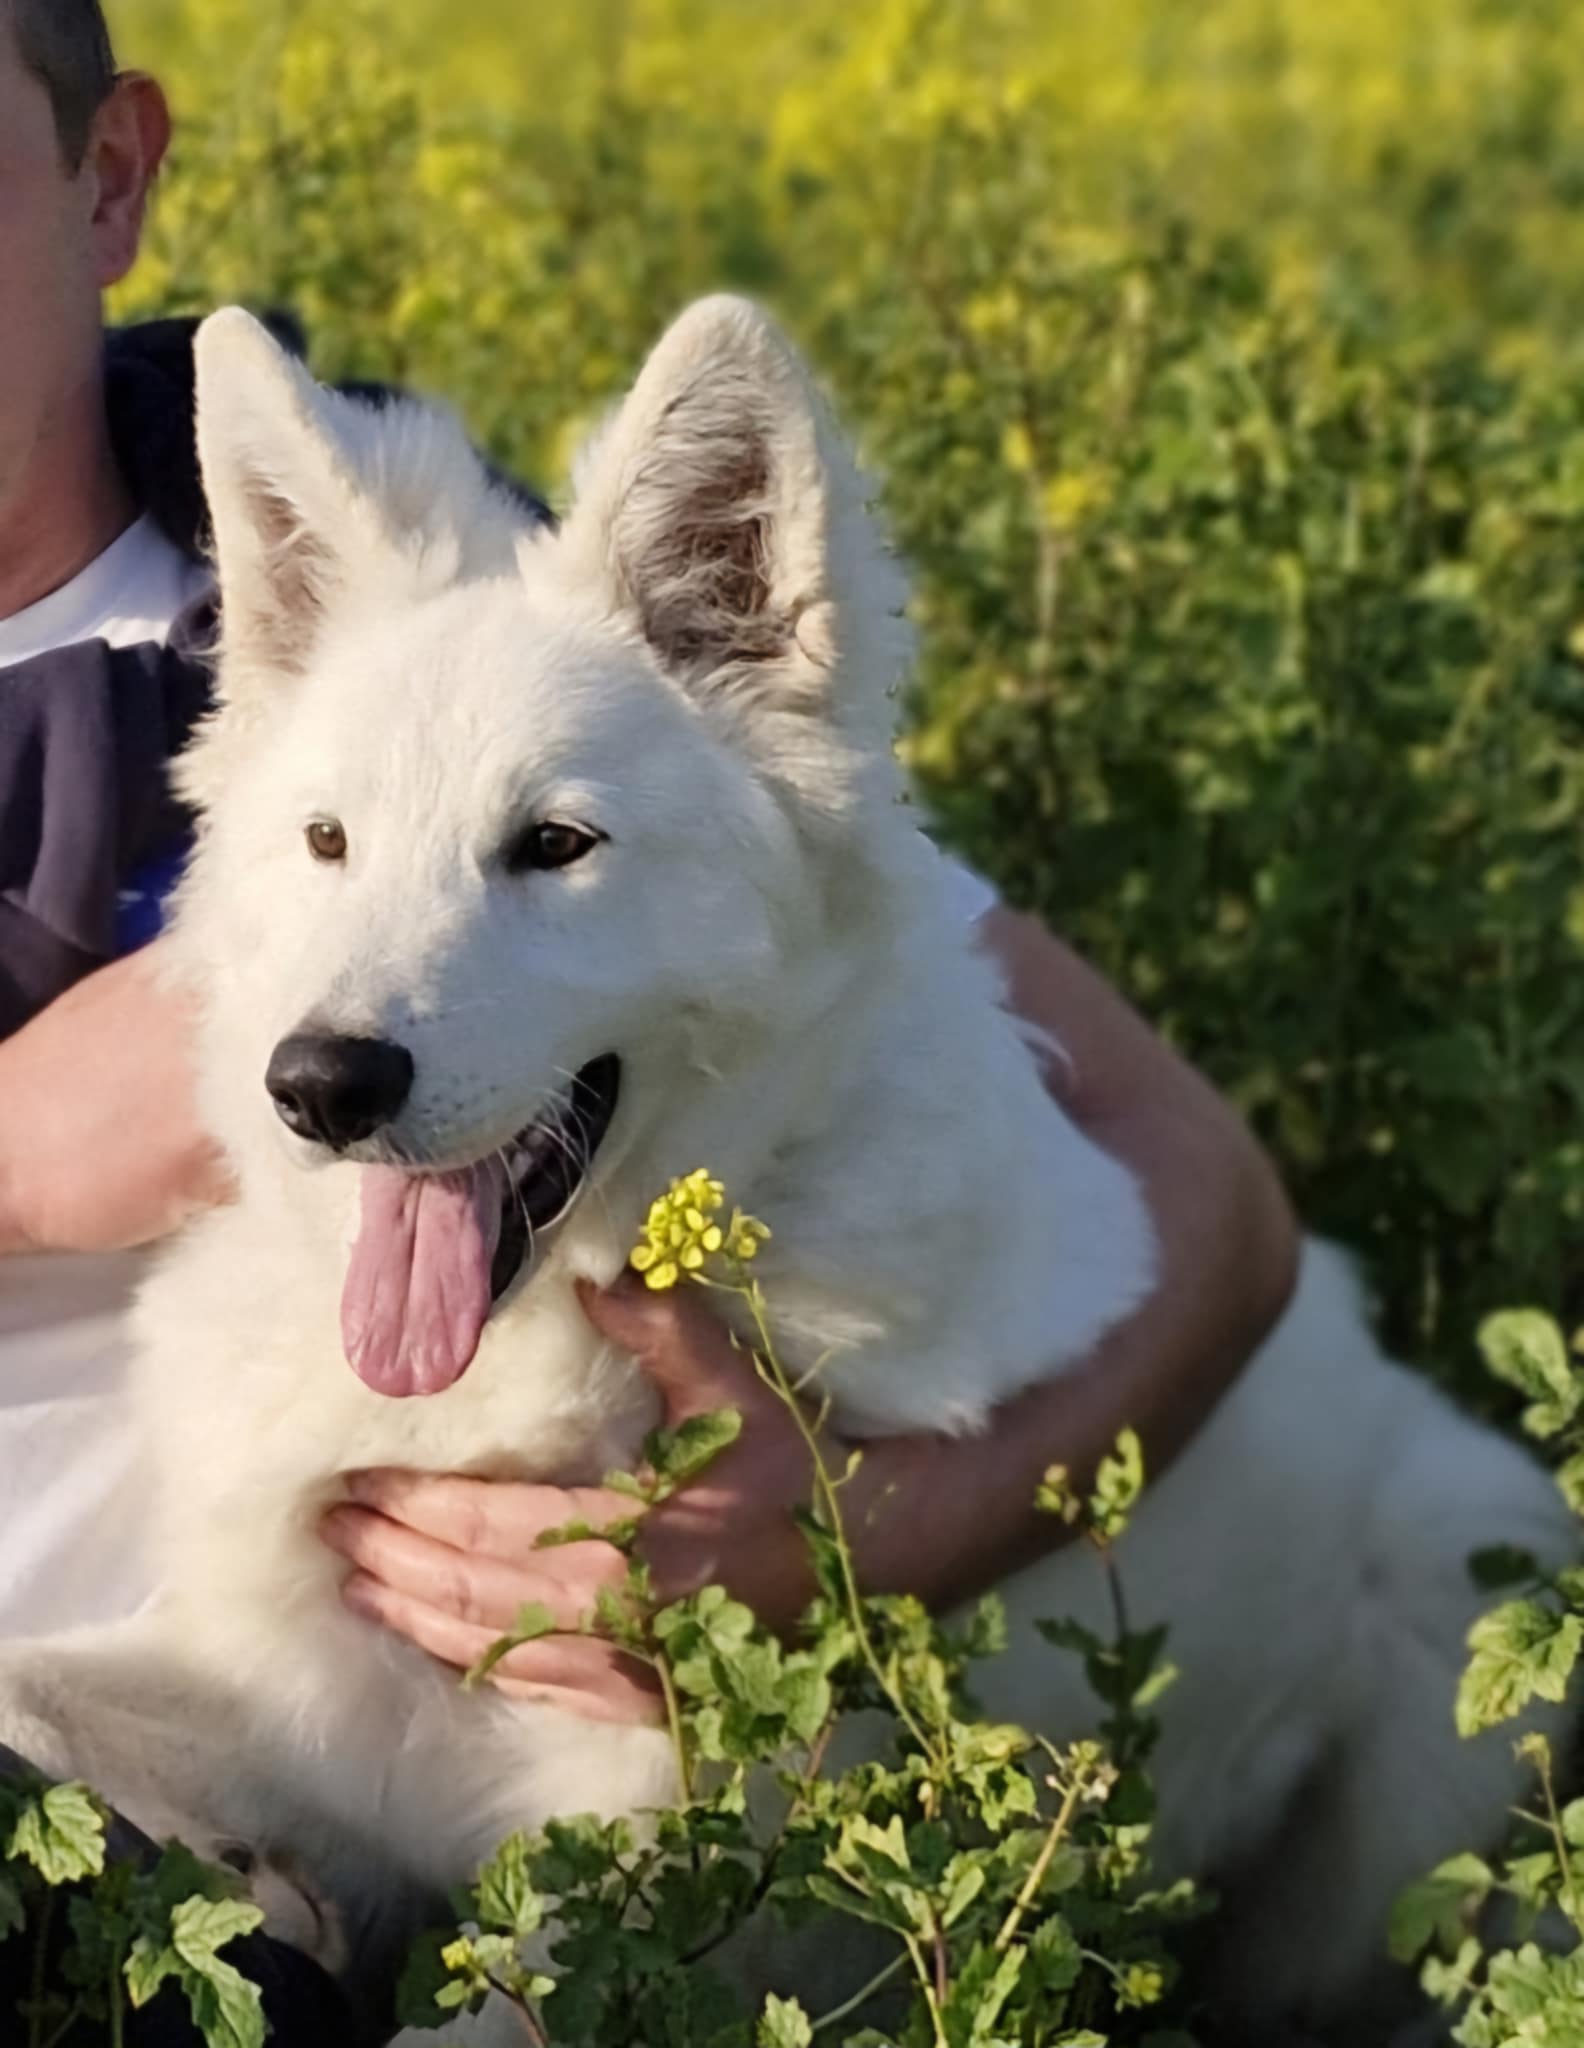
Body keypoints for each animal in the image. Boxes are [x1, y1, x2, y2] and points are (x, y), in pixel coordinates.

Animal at [0, 296, 1565, 2039]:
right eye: (327, 842)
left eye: (555, 846)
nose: (322, 1086)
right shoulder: (289, 1699)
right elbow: (38, 1712)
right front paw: (257, 1886)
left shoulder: (652, 1879)